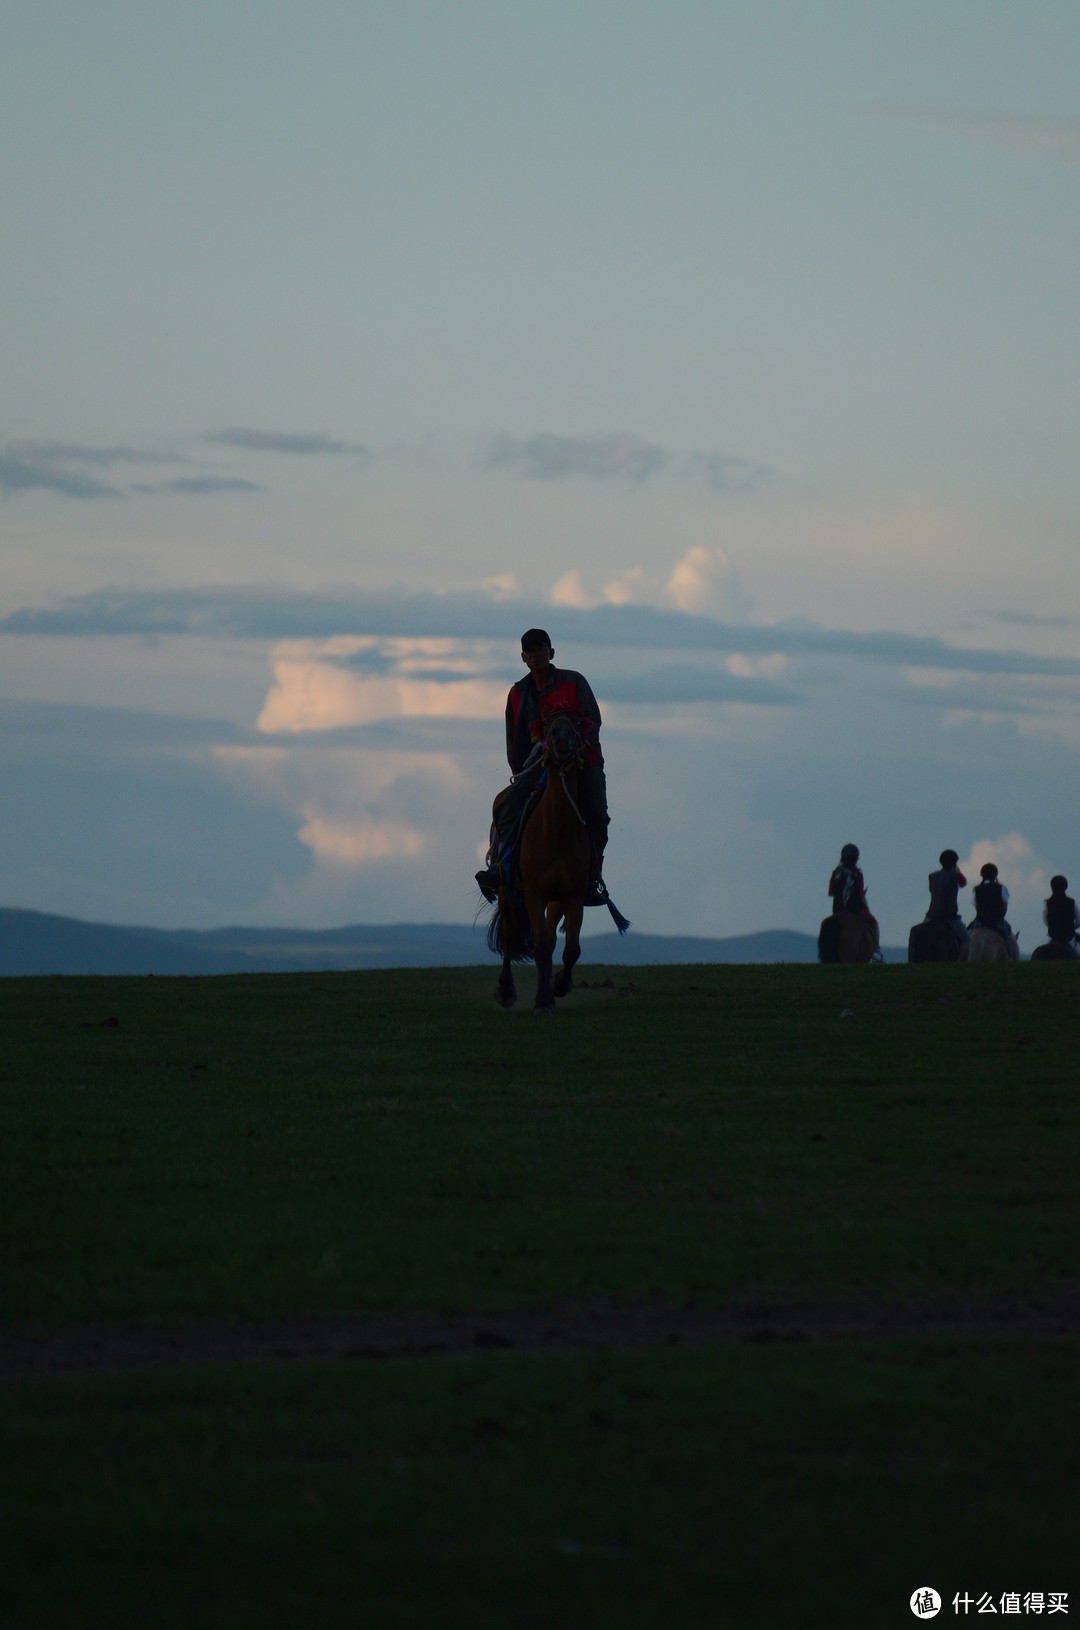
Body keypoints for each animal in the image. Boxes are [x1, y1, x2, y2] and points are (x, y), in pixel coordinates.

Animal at [488, 710, 592, 1010]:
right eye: (547, 724)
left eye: (576, 723)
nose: (561, 737)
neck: (557, 833)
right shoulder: (533, 894)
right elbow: (540, 950)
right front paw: (542, 1001)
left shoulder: (573, 895)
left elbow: (569, 949)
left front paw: (558, 986)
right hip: (508, 893)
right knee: (510, 933)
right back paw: (506, 989)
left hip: (555, 900)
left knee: (549, 939)